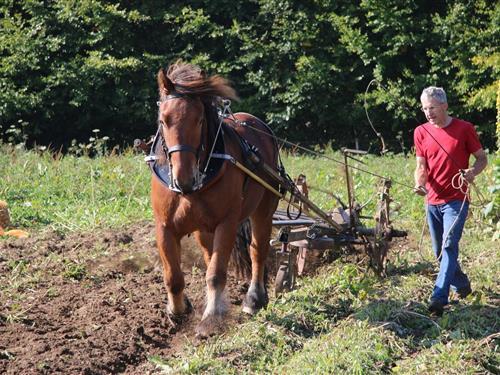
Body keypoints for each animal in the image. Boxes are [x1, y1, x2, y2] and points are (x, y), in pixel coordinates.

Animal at [150, 61, 282, 338]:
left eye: (199, 119)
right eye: (164, 120)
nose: (184, 178)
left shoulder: (227, 222)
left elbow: (216, 273)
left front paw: (211, 318)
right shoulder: (164, 226)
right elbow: (173, 276)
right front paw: (178, 310)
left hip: (264, 209)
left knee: (258, 250)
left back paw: (254, 299)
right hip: (204, 228)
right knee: (209, 254)